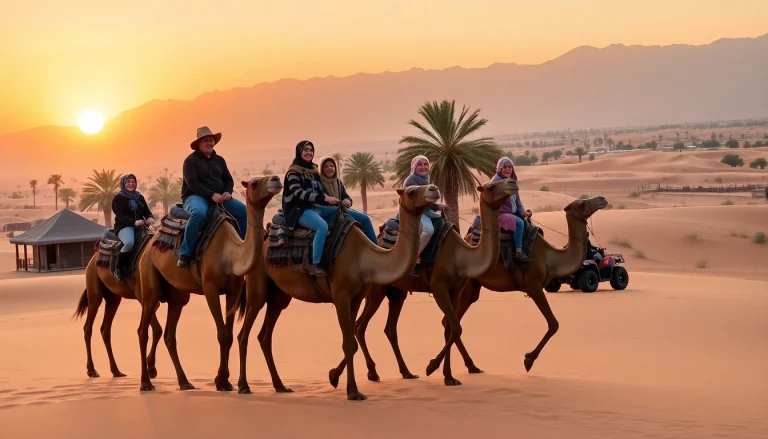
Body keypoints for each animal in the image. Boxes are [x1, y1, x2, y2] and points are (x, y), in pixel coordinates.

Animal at [73, 243, 163, 379]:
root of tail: (92, 260)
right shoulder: (142, 295)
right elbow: (157, 329)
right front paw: (151, 369)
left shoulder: (150, 299)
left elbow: (153, 328)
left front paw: (150, 367)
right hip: (94, 290)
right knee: (88, 327)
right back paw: (92, 370)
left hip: (113, 298)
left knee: (105, 329)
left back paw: (116, 371)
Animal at [136, 175, 282, 392]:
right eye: (255, 183)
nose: (276, 179)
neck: (230, 254)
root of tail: (149, 245)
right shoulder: (210, 288)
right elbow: (222, 334)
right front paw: (222, 381)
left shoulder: (233, 290)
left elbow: (229, 334)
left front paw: (225, 381)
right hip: (149, 283)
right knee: (142, 330)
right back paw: (146, 383)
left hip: (177, 295)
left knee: (170, 334)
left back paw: (185, 382)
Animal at [233, 184, 441, 401]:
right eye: (411, 191)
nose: (434, 189)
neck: (364, 258)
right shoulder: (341, 295)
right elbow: (348, 342)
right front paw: (353, 392)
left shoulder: (356, 298)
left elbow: (353, 340)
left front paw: (334, 377)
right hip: (257, 282)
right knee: (244, 331)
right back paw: (244, 386)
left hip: (279, 296)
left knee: (265, 335)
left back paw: (280, 386)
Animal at [329, 178, 521, 386]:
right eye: (491, 186)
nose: (512, 182)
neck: (460, 255)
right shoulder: (439, 287)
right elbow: (455, 327)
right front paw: (431, 367)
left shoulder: (456, 290)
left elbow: (450, 328)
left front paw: (449, 376)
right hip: (376, 291)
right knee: (360, 326)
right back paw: (367, 373)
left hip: (397, 293)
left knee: (388, 329)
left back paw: (404, 372)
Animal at [436, 196, 608, 381]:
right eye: (582, 203)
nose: (602, 199)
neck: (551, 258)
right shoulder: (533, 284)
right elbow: (553, 324)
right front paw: (528, 360)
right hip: (465, 286)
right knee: (450, 322)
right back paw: (453, 372)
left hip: (472, 289)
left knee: (451, 321)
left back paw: (472, 367)